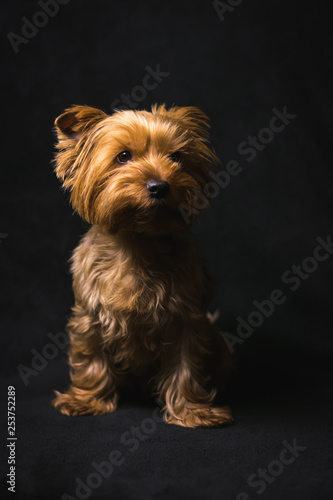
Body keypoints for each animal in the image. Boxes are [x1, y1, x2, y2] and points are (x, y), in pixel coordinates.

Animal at [52, 103, 233, 428]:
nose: (160, 186)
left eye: (177, 157)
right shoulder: (89, 315)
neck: (139, 242)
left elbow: (187, 366)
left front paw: (193, 411)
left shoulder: (187, 318)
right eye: (123, 156)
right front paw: (85, 401)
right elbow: (90, 358)